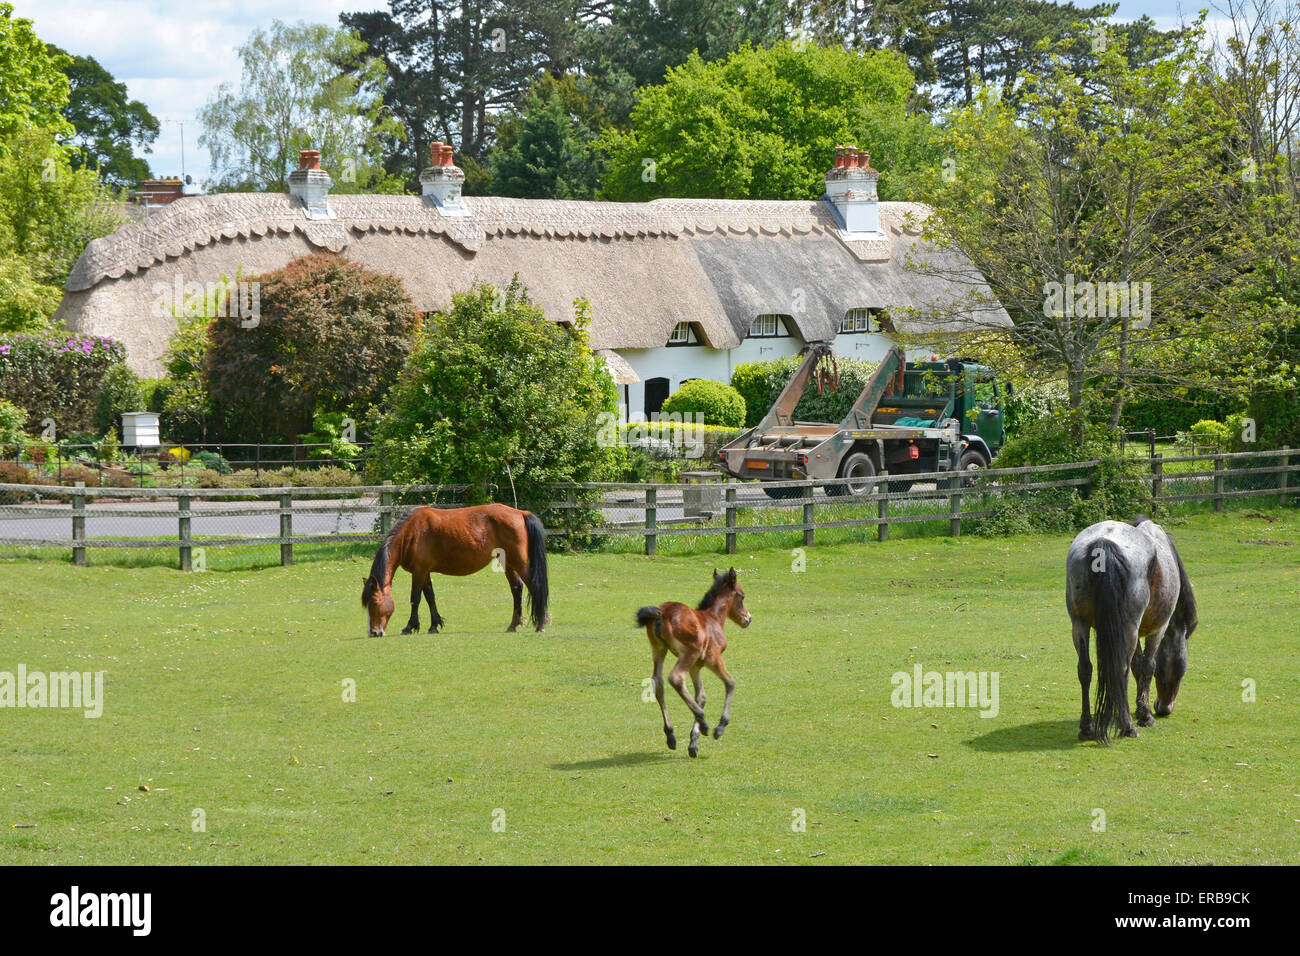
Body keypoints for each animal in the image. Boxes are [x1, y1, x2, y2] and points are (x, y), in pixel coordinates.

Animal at [361, 504, 548, 639]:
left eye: (375, 603)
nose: (374, 632)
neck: (411, 534)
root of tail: (521, 513)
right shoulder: (425, 572)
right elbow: (430, 597)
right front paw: (434, 625)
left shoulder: (419, 571)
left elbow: (415, 598)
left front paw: (410, 627)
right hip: (508, 563)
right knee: (517, 589)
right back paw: (513, 625)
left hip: (519, 563)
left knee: (535, 587)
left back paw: (541, 624)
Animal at [634, 572, 748, 759]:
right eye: (742, 596)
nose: (748, 618)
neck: (713, 619)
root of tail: (661, 613)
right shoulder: (713, 658)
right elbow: (730, 683)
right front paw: (720, 727)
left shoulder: (696, 667)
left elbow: (701, 696)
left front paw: (693, 743)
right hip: (689, 652)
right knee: (675, 678)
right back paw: (704, 723)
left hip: (659, 650)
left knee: (658, 682)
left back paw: (671, 735)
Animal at [1066, 520, 1196, 743]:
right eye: (1179, 673)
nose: (1164, 708)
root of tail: (1104, 543)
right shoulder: (1158, 629)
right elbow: (1148, 666)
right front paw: (1145, 716)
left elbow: (1137, 666)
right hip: (1128, 628)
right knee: (1121, 670)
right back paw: (1127, 726)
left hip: (1080, 624)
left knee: (1085, 669)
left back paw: (1087, 728)